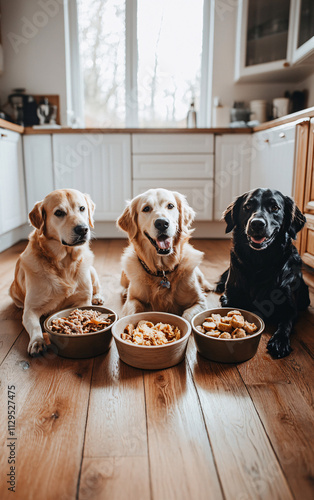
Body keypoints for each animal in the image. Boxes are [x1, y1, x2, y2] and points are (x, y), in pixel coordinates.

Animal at [8, 188, 103, 356]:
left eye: (82, 208)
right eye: (59, 212)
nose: (83, 229)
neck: (64, 262)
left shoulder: (83, 299)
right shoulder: (30, 310)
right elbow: (35, 326)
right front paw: (37, 341)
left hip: (91, 270)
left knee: (97, 287)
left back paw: (97, 298)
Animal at [116, 187, 210, 320]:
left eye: (170, 206)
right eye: (146, 208)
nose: (161, 223)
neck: (163, 271)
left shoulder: (199, 302)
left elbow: (188, 317)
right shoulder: (132, 300)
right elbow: (133, 311)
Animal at [216, 188, 310, 360]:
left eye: (275, 208)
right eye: (247, 207)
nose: (257, 223)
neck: (259, 263)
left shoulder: (290, 308)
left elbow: (285, 323)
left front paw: (279, 342)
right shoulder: (233, 297)